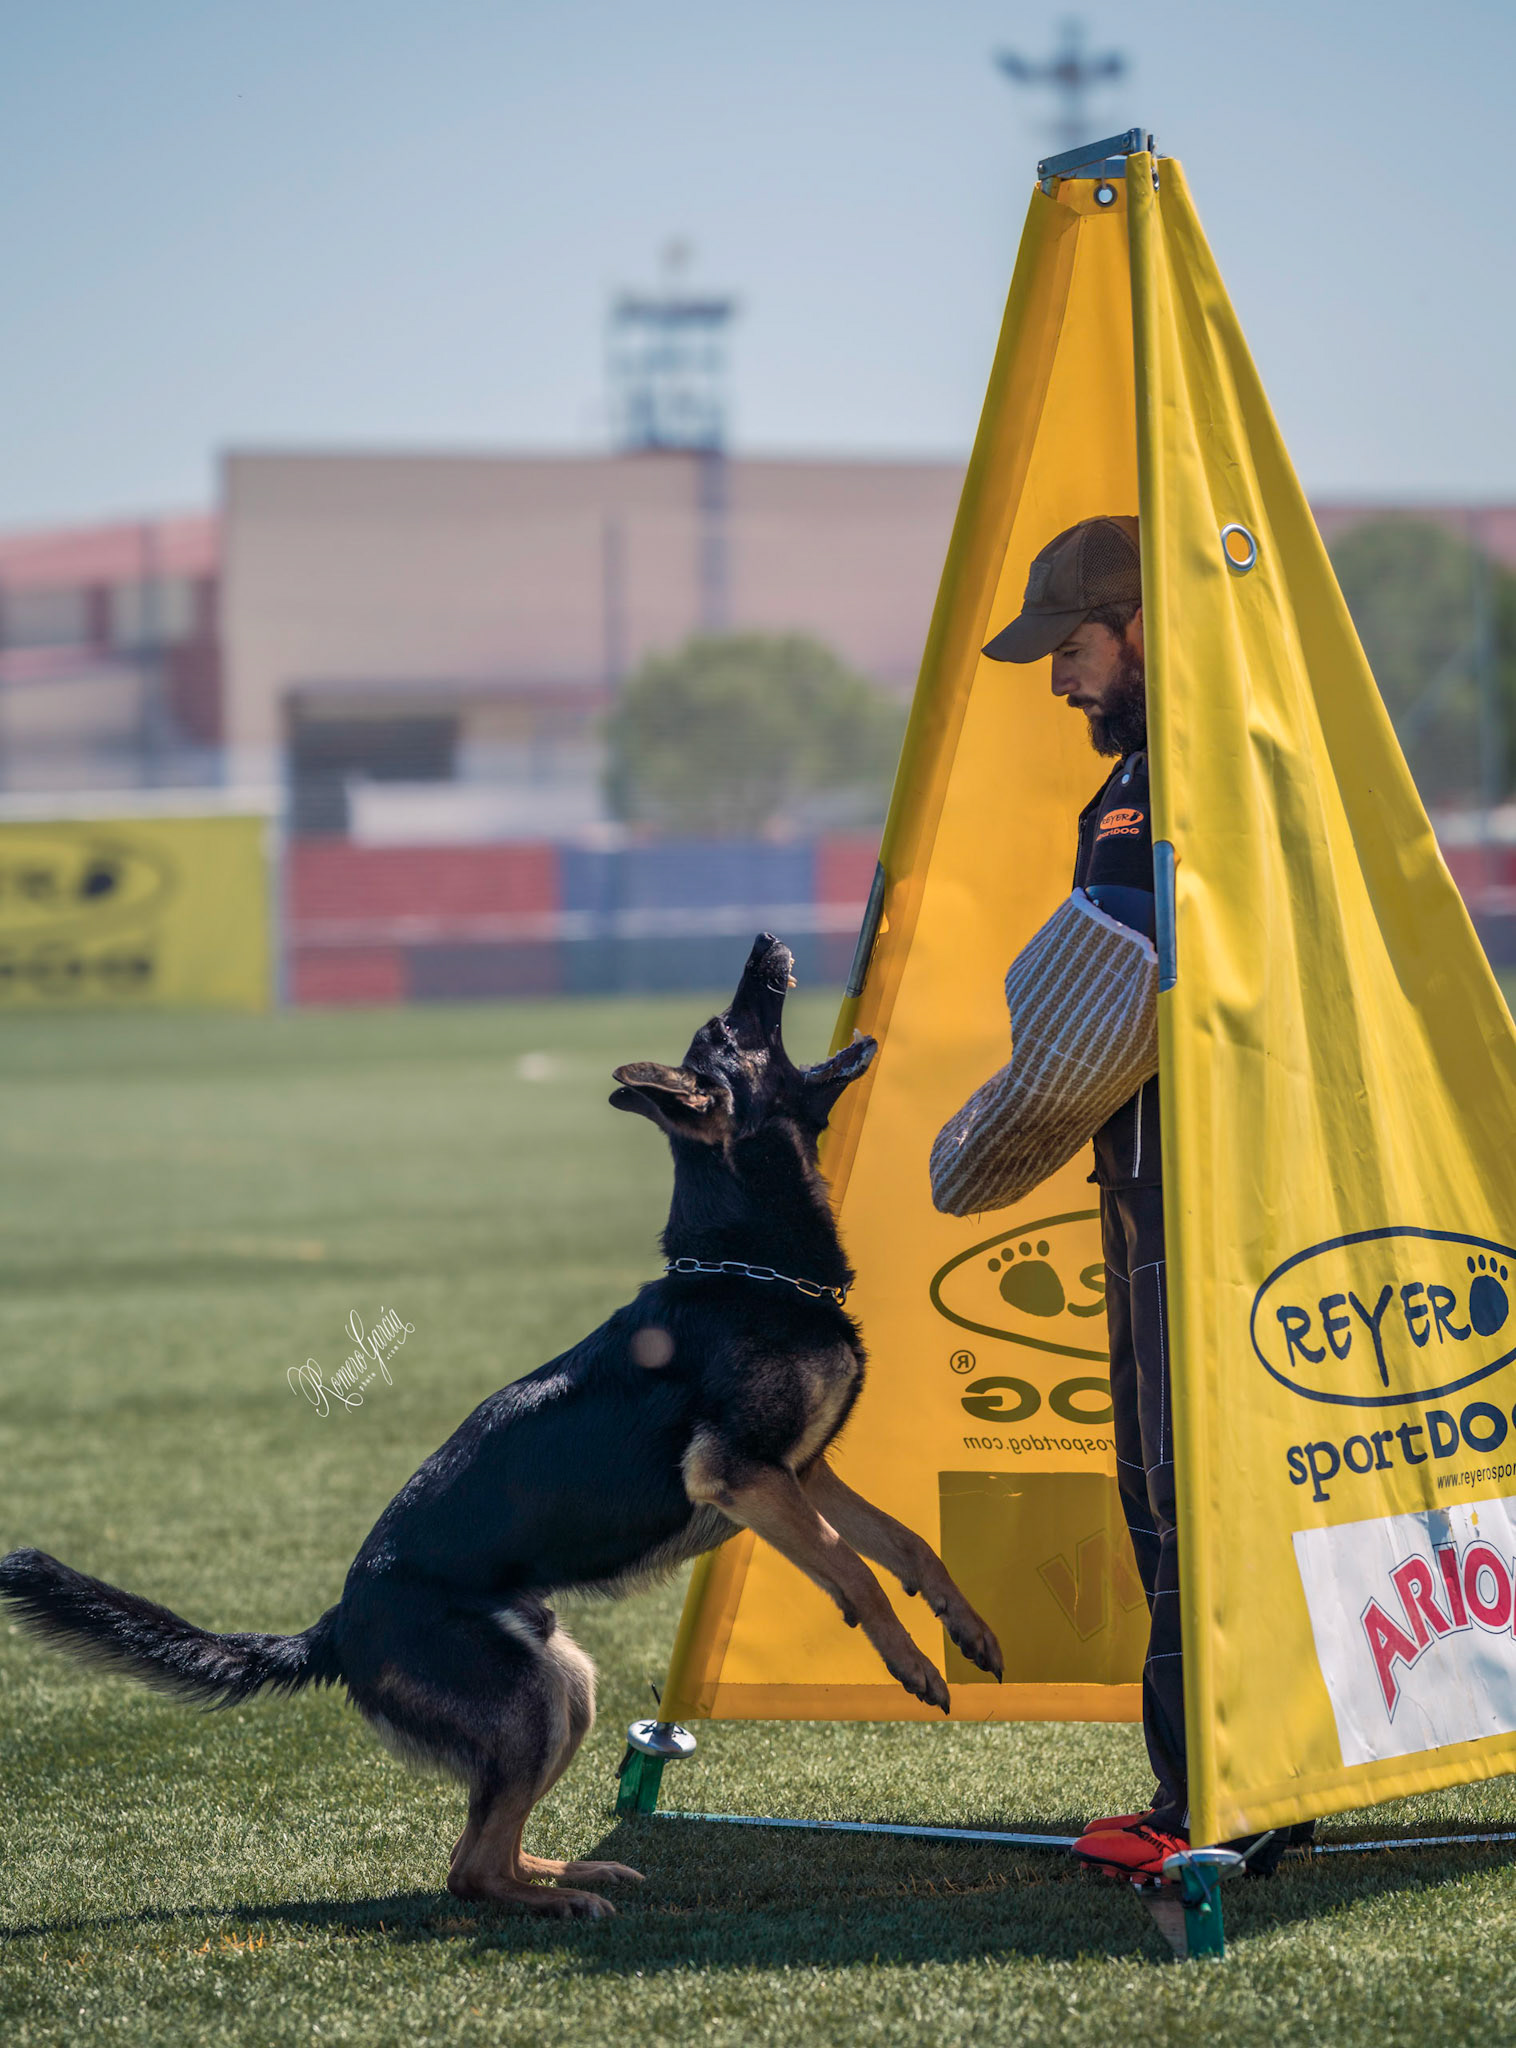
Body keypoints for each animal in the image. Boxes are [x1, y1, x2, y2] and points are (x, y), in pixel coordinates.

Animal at [0, 934, 1002, 1919]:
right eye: (730, 1028)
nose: (763, 943)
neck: (748, 1268)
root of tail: (335, 1624)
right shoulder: (746, 1475)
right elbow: (852, 1568)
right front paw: (912, 1663)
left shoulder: (808, 1472)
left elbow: (906, 1544)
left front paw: (968, 1628)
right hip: (528, 1701)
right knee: (469, 1869)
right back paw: (558, 1902)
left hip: (565, 1686)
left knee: (488, 1844)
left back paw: (571, 1875)